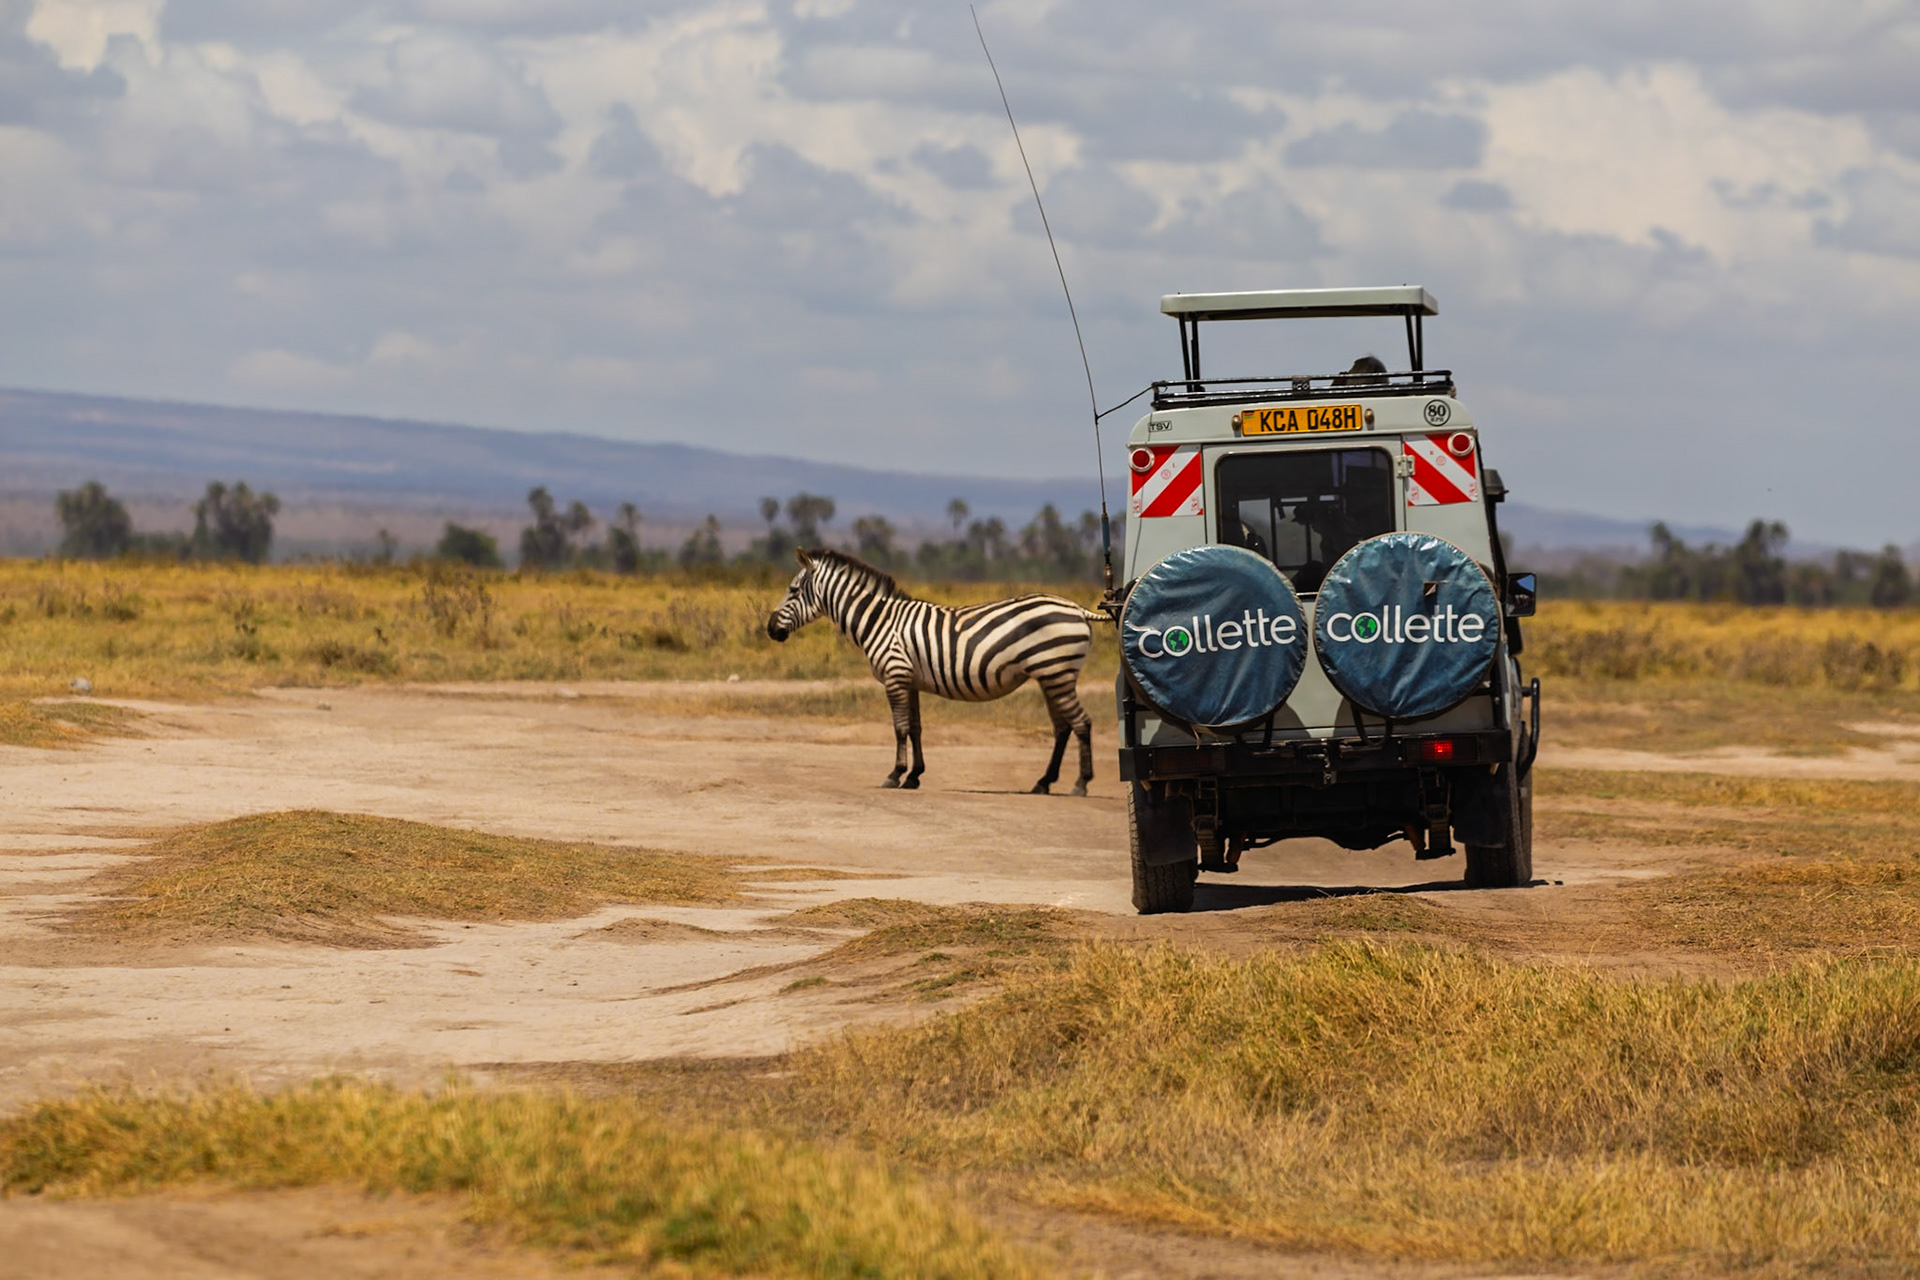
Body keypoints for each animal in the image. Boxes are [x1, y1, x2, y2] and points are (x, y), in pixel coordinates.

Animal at [766, 549, 1104, 794]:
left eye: (793, 590)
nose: (770, 629)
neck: (879, 621)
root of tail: (1076, 607)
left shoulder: (895, 676)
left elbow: (899, 728)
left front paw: (895, 775)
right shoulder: (910, 680)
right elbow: (916, 728)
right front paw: (914, 776)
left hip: (1057, 674)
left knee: (1081, 722)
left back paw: (1081, 783)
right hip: (1051, 676)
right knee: (1063, 727)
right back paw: (1043, 782)